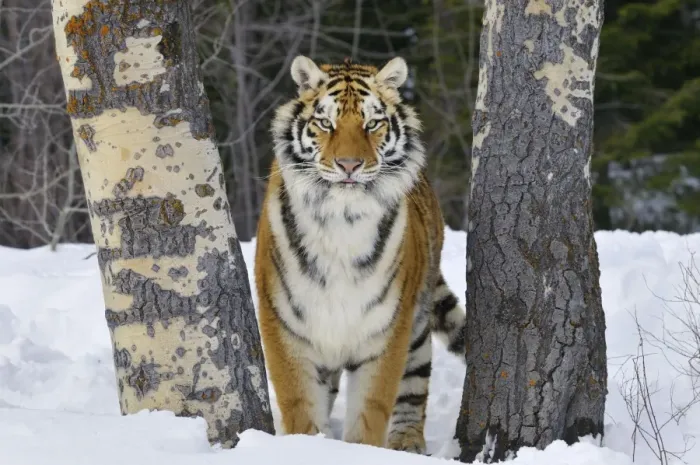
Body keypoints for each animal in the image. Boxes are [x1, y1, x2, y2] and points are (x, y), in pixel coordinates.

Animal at [254, 55, 467, 454]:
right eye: (326, 123)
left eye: (373, 124)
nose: (349, 165)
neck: (343, 221)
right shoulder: (285, 325)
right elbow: (299, 404)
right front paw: (309, 444)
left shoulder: (386, 329)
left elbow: (372, 409)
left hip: (417, 326)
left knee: (414, 388)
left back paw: (407, 443)